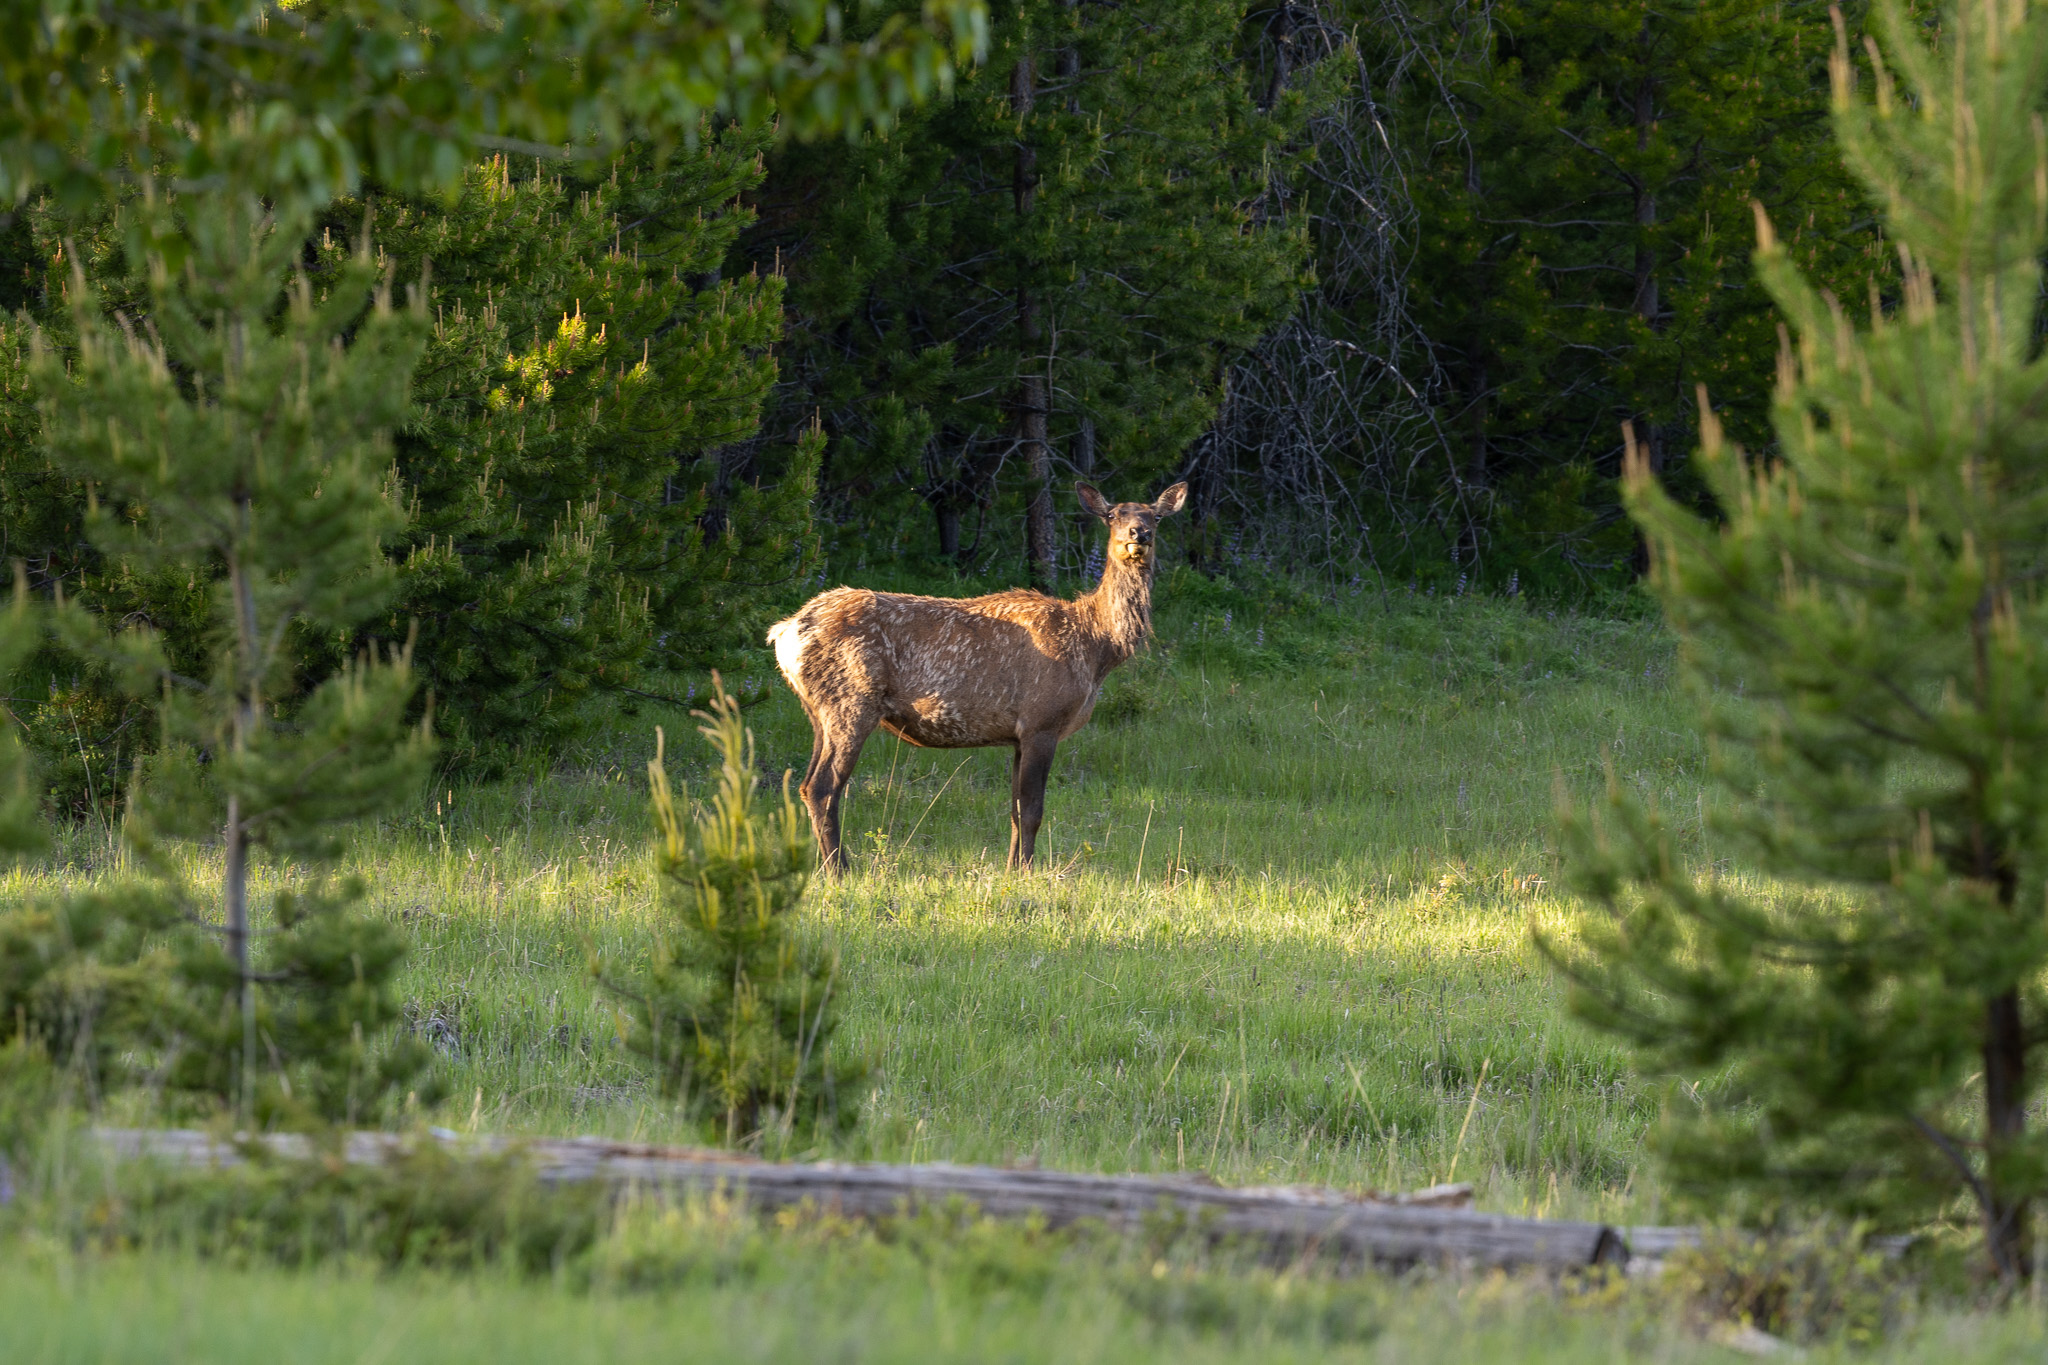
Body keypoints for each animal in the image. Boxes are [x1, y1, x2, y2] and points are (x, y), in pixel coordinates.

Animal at [767, 481, 1187, 875]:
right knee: (823, 787)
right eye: (1112, 515)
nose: (1138, 534)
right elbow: (1033, 810)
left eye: (1156, 516)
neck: (1096, 647)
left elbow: (1015, 810)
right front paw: (1028, 871)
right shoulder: (1042, 720)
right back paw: (839, 870)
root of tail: (785, 632)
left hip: (819, 712)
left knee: (806, 784)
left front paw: (1012, 867)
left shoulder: (1018, 734)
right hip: (850, 702)